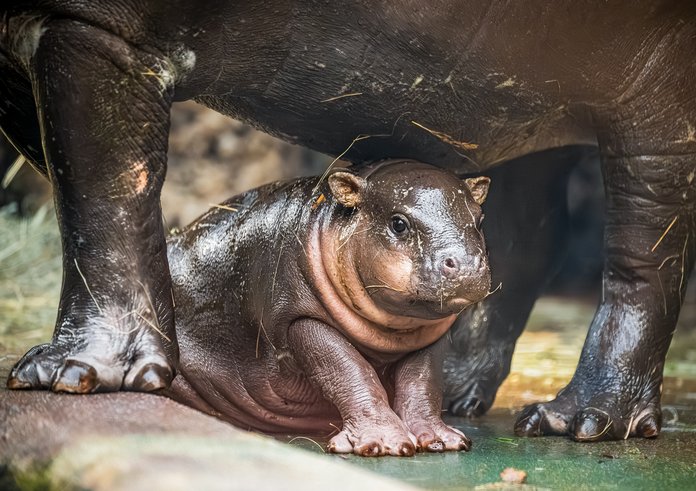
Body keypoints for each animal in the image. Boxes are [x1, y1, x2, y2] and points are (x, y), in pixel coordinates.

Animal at [164, 161, 490, 458]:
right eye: (398, 223)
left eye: (480, 219)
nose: (467, 264)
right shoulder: (300, 319)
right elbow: (348, 370)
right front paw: (383, 443)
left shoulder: (428, 337)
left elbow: (422, 382)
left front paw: (442, 440)